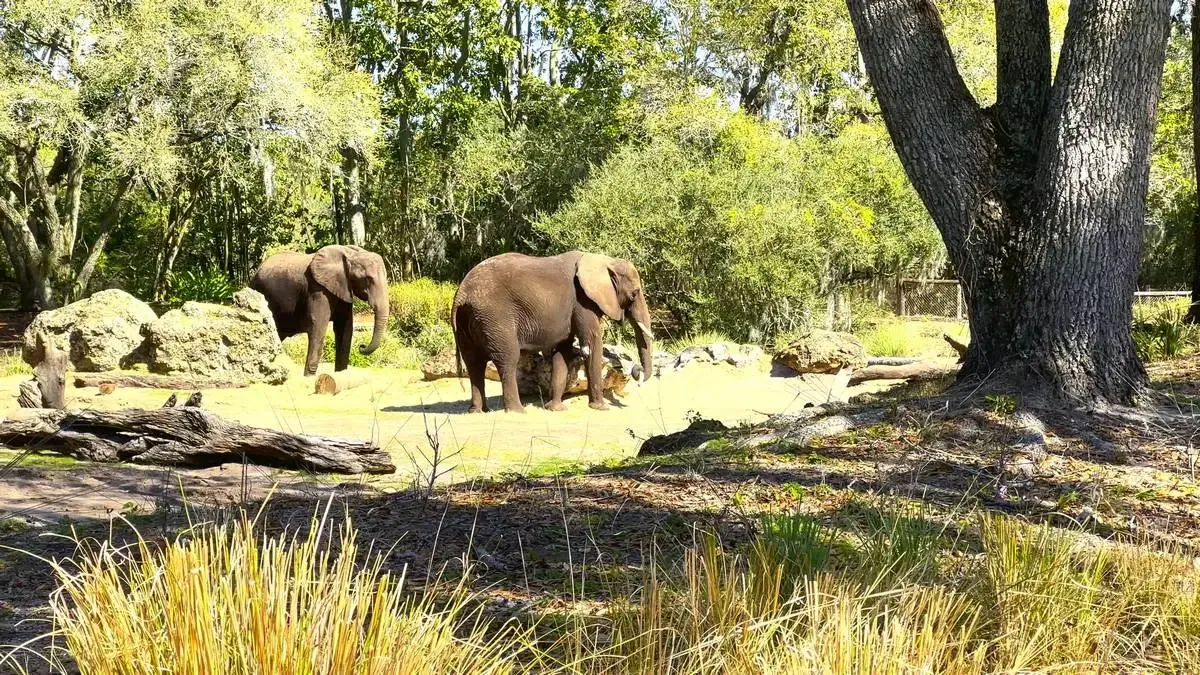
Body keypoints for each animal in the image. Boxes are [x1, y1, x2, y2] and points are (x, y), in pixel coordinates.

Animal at [249, 244, 389, 376]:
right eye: (368, 279)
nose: (362, 346)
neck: (350, 254)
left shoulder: (343, 289)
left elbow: (345, 329)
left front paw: (340, 374)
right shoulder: (317, 289)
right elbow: (318, 326)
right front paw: (309, 377)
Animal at [452, 251, 654, 413]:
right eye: (635, 293)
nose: (636, 371)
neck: (603, 260)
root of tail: (462, 294)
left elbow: (562, 350)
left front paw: (555, 409)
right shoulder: (583, 301)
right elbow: (592, 343)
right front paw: (601, 408)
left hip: (468, 323)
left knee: (474, 363)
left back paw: (477, 411)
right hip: (495, 318)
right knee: (507, 360)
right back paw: (518, 411)